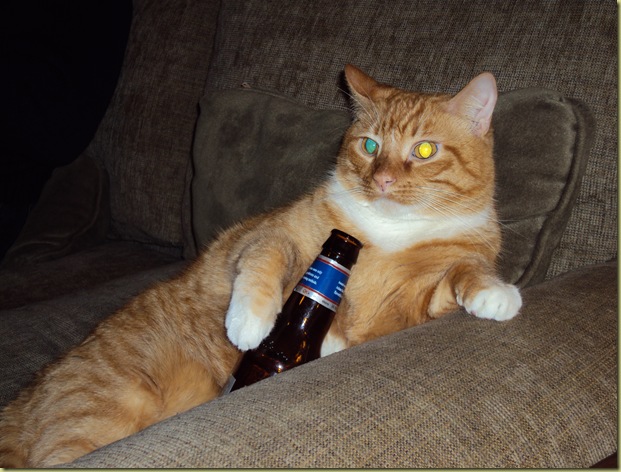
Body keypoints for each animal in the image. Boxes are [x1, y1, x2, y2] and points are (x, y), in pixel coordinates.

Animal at [0, 64, 522, 467]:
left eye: (425, 150)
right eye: (370, 146)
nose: (384, 180)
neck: (385, 236)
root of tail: (23, 401)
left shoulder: (408, 312)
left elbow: (459, 275)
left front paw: (494, 293)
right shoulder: (268, 236)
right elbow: (268, 257)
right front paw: (251, 323)